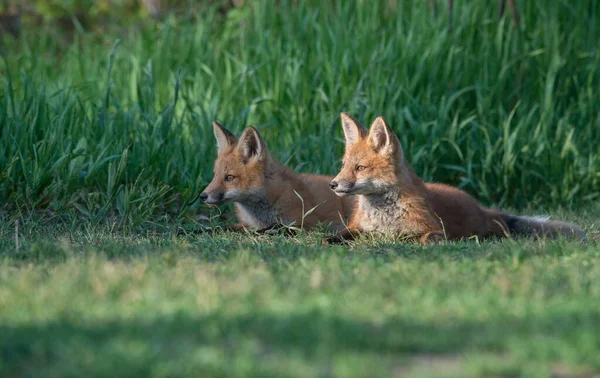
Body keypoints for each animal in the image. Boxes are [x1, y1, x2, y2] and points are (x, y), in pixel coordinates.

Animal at [199, 122, 354, 232]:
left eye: (230, 177)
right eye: (215, 175)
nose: (202, 196)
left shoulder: (306, 224)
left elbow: (272, 228)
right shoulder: (245, 224)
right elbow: (215, 228)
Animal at [326, 112, 584, 245]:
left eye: (360, 168)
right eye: (344, 166)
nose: (332, 184)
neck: (384, 217)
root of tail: (481, 208)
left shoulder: (433, 229)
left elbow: (422, 239)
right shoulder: (356, 227)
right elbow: (333, 238)